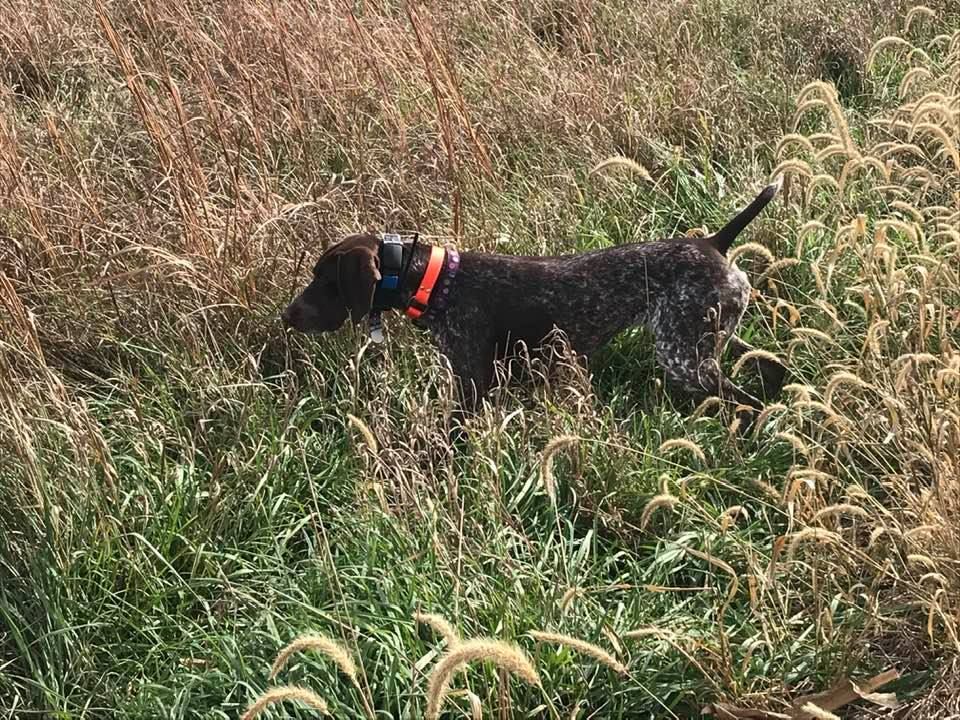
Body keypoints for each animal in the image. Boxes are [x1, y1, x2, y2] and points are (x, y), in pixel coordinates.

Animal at [282, 179, 784, 424]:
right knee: (771, 365)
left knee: (746, 400)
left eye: (324, 280)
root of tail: (714, 244)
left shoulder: (472, 385)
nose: (287, 316)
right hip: (709, 338)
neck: (438, 281)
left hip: (685, 355)